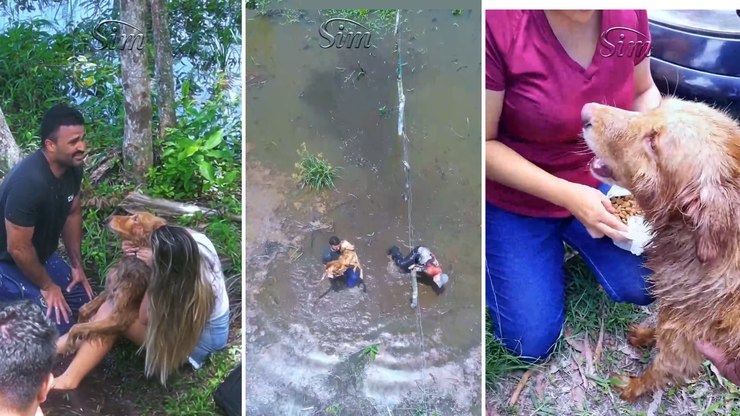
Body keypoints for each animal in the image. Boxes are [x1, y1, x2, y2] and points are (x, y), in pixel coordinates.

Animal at [64, 213, 167, 350]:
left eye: (136, 219)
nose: (106, 219)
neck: (134, 264)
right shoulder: (111, 289)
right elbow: (83, 309)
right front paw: (80, 324)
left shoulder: (119, 318)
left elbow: (77, 327)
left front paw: (70, 342)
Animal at [584, 98, 740, 404]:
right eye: (657, 107)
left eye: (653, 142)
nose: (585, 111)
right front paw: (647, 334)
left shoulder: (683, 340)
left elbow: (659, 369)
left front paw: (633, 386)